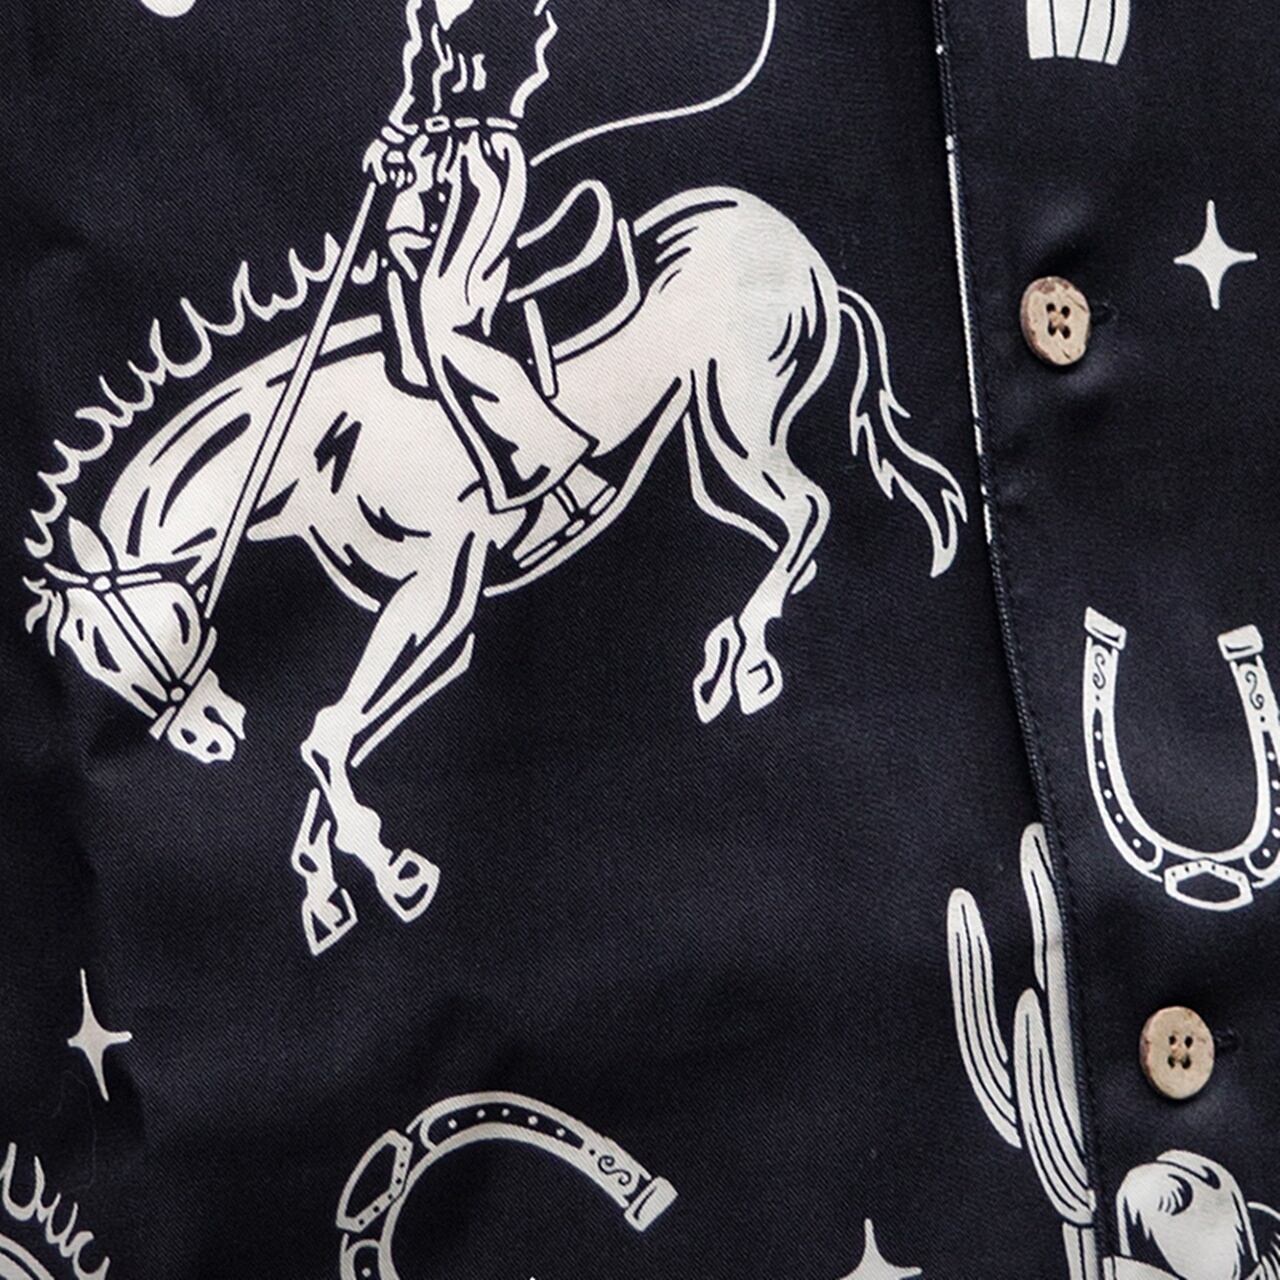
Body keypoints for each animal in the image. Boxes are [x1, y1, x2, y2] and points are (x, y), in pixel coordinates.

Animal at [24, 185, 967, 954]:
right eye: (91, 664)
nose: (206, 737)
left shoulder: (438, 602)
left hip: (741, 423)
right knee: (788, 530)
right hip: (708, 448)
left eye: (122, 641)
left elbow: (324, 734)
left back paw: (747, 661)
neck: (320, 446)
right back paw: (743, 641)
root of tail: (798, 247)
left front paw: (393, 872)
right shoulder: (430, 625)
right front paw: (326, 893)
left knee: (810, 510)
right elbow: (335, 740)